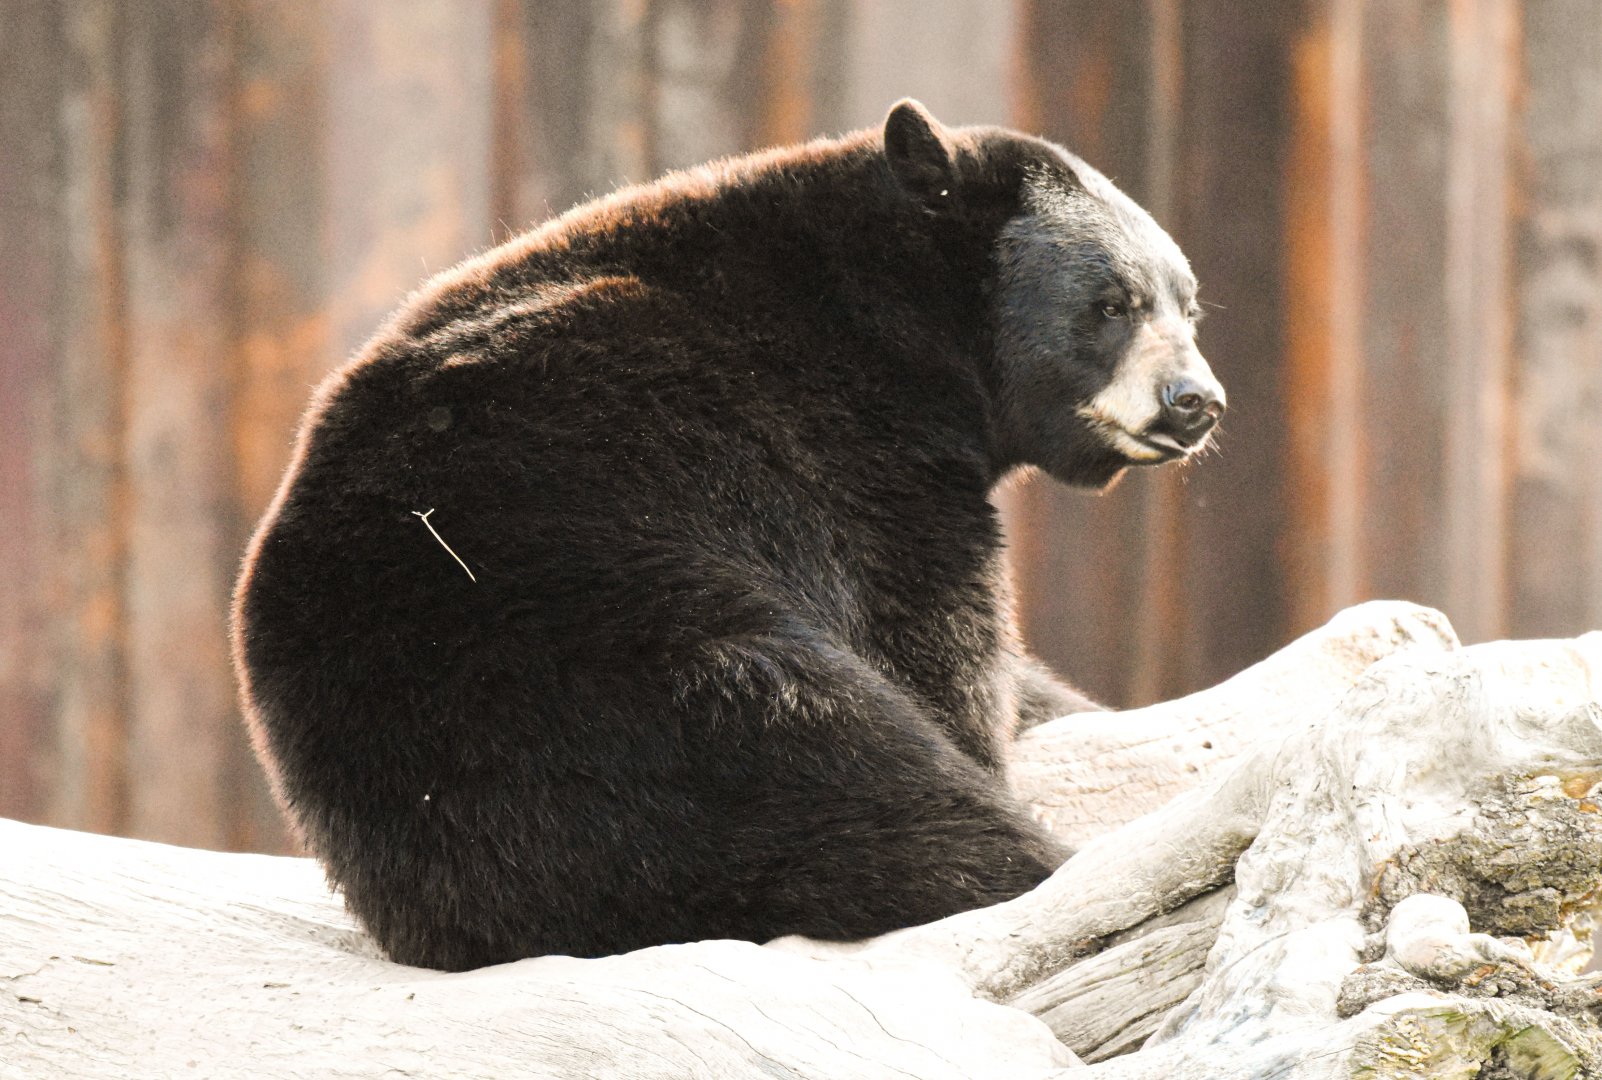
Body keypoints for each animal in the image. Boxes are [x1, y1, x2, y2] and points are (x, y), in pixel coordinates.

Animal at [232, 100, 1224, 972]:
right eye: (1112, 302)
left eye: (1189, 304)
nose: (1195, 402)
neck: (884, 323)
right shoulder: (849, 466)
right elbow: (935, 643)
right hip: (642, 679)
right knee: (853, 774)